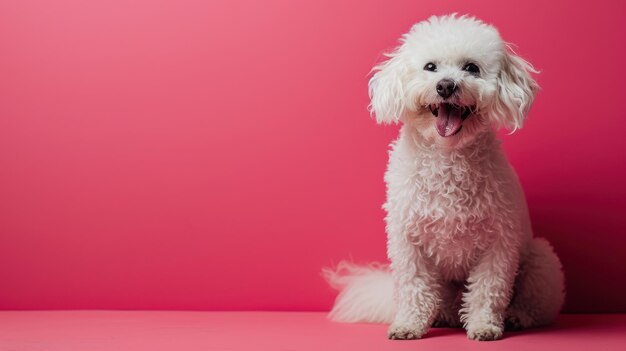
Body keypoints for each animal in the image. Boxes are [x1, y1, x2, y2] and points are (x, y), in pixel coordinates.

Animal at [324, 15, 564, 342]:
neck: (447, 157)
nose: (446, 85)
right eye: (430, 67)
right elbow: (414, 286)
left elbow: (488, 289)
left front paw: (484, 325)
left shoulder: (499, 243)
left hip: (540, 260)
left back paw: (516, 316)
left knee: (535, 304)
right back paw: (442, 315)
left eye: (471, 68)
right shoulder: (408, 241)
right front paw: (408, 324)